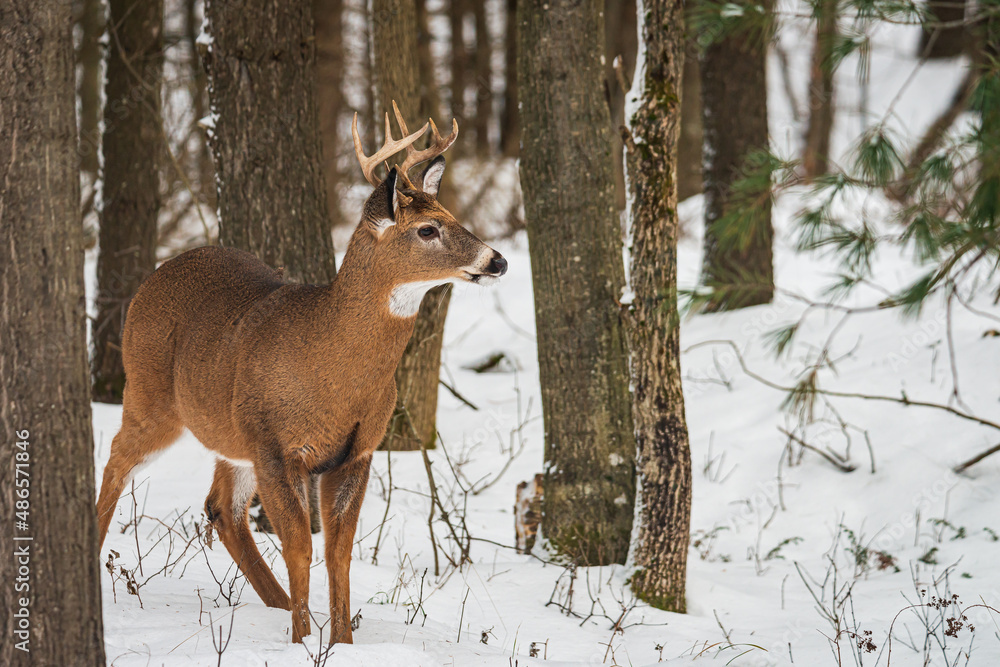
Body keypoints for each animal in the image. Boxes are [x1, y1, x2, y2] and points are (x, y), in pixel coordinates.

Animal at [94, 101, 506, 644]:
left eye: (453, 217)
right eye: (427, 230)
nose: (497, 260)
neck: (333, 371)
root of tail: (154, 276)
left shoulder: (357, 451)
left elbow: (338, 552)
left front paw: (340, 642)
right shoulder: (275, 445)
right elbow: (300, 548)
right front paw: (303, 642)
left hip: (230, 434)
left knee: (221, 508)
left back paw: (278, 604)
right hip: (150, 395)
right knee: (117, 461)